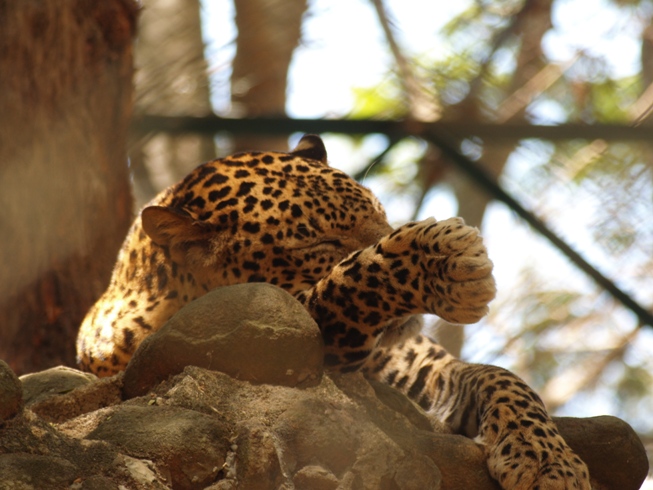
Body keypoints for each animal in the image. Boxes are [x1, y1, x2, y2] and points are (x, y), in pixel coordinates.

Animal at [76, 135, 592, 490]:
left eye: (379, 210)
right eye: (320, 245)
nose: (394, 230)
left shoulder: (421, 375)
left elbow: (502, 378)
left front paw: (549, 458)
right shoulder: (285, 327)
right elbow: (345, 282)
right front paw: (436, 257)